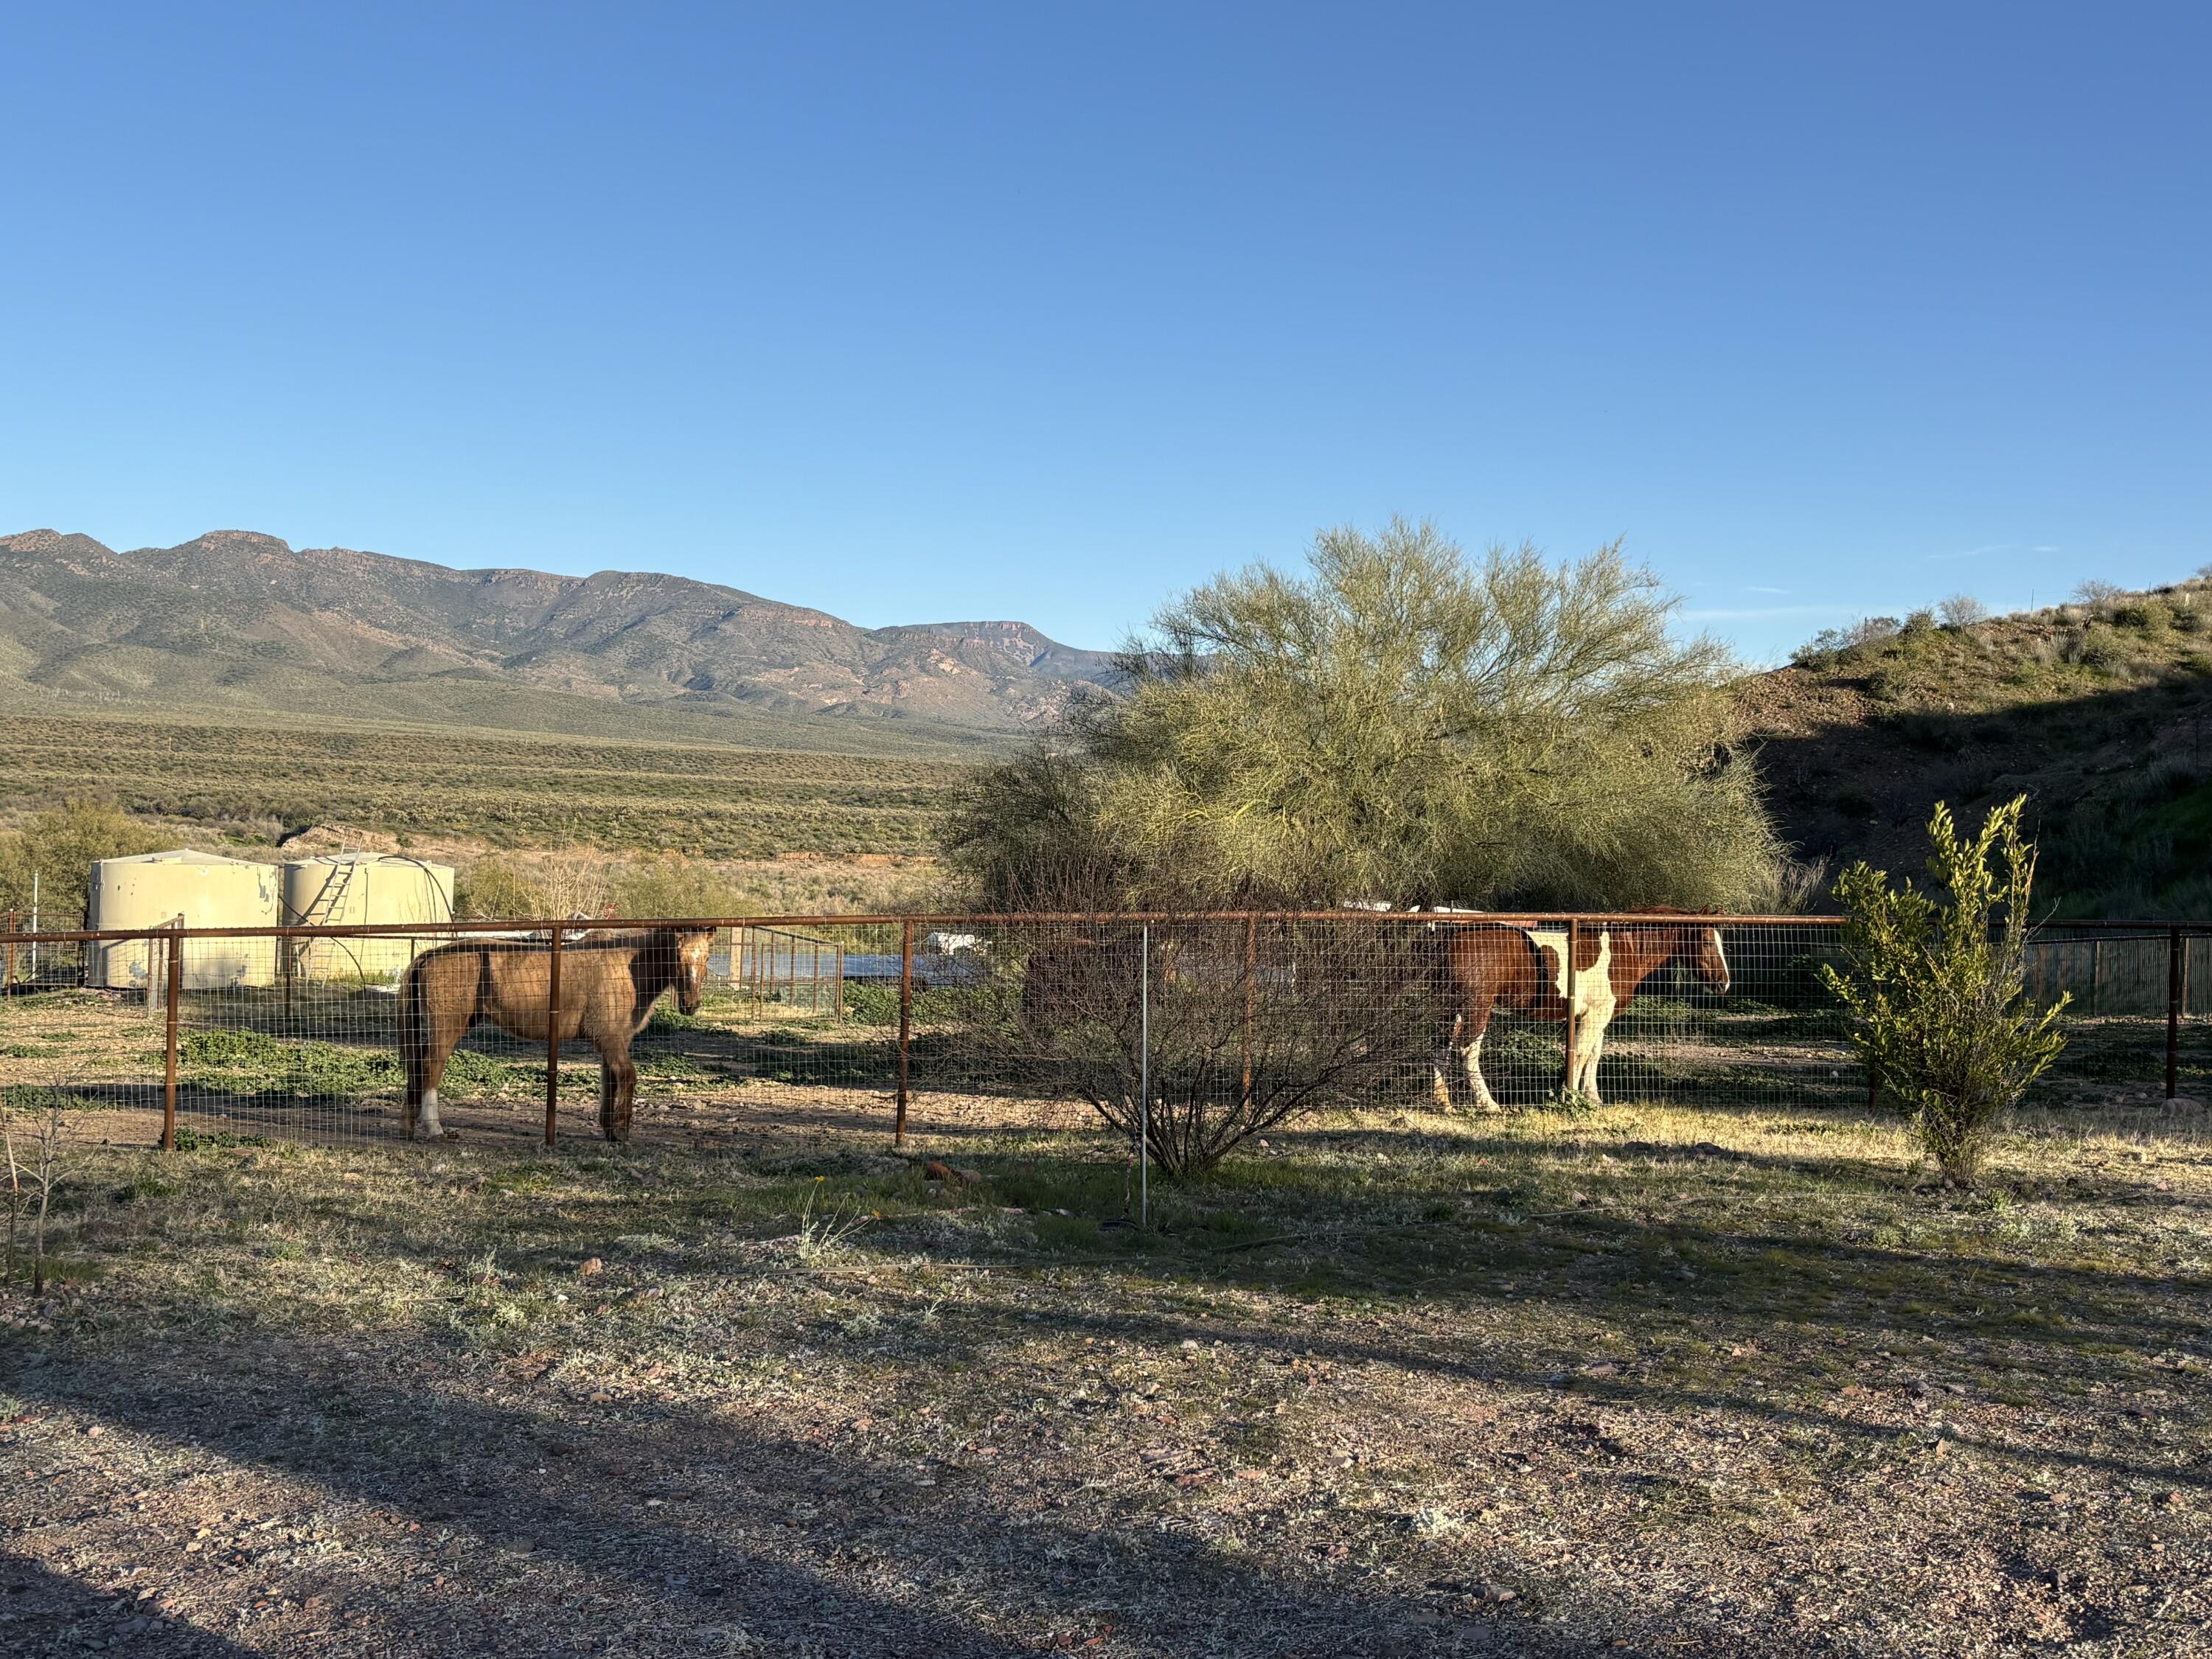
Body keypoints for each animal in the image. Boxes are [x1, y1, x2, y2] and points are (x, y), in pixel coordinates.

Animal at [399, 927, 715, 1143]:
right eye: (677, 956)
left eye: (707, 958)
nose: (690, 1004)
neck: (625, 966)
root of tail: (428, 957)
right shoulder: (611, 1039)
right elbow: (627, 1076)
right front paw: (621, 1131)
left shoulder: (614, 1041)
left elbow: (610, 1081)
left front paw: (610, 1129)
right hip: (446, 1030)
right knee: (430, 1070)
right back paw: (435, 1128)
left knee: (418, 1071)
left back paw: (409, 1127)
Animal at [1433, 913, 1730, 1111]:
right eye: (1706, 942)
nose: (1723, 983)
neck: (1623, 951)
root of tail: (1451, 939)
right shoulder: (1596, 1015)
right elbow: (1581, 1054)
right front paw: (1571, 1097)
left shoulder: (1596, 1015)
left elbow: (1593, 1055)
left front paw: (1592, 1098)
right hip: (1477, 1008)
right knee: (1467, 1050)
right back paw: (1488, 1104)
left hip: (1450, 1008)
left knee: (1440, 1047)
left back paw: (1443, 1102)